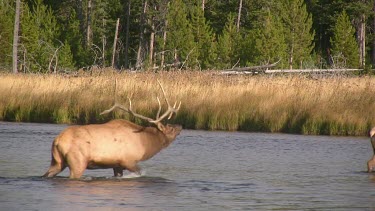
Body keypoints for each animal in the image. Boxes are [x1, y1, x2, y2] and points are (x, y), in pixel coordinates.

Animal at [42, 80, 182, 179]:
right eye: (170, 127)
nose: (180, 126)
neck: (145, 143)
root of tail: (57, 141)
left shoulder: (117, 165)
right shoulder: (128, 161)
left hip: (57, 161)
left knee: (46, 174)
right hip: (78, 162)